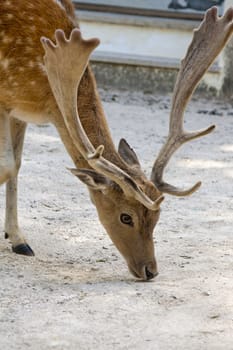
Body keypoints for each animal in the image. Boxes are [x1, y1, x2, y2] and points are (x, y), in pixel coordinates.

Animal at [0, 0, 233, 278]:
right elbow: (7, 166)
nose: (150, 271)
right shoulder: (4, 101)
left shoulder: (20, 112)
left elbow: (16, 166)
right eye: (126, 217)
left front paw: (17, 239)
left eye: (157, 219)